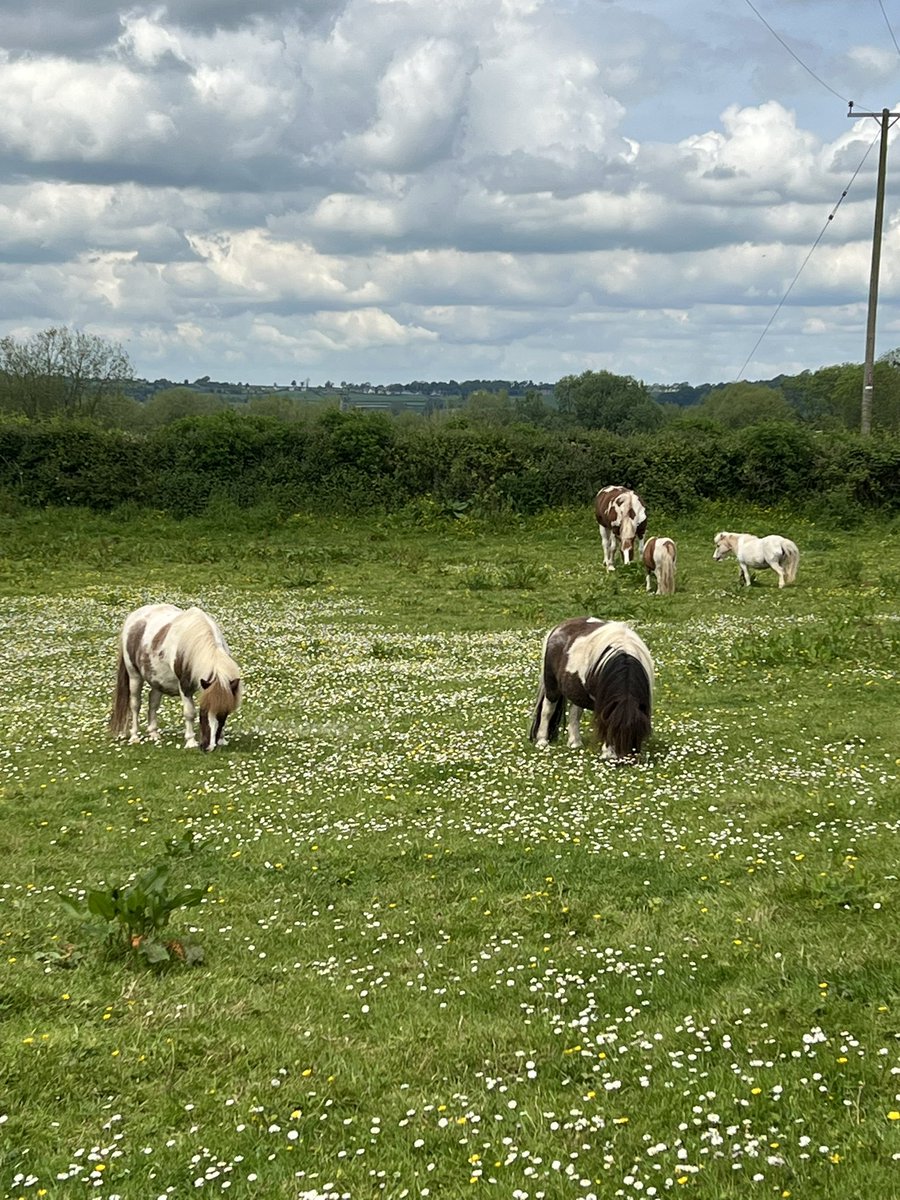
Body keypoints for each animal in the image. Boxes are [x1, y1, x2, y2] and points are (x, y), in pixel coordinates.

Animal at [109, 600, 243, 748]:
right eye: (203, 712)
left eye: (223, 714)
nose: (208, 746)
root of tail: (133, 617)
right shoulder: (184, 685)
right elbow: (189, 712)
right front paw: (191, 741)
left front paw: (222, 740)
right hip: (134, 676)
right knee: (135, 704)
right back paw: (134, 736)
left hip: (157, 679)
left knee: (153, 702)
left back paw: (153, 733)